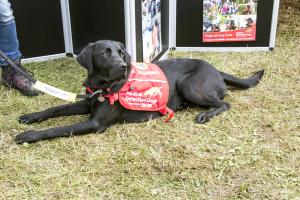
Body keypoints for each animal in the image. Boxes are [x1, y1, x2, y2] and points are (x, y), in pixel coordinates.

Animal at [15, 39, 264, 143]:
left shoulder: (95, 124)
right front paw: (31, 117)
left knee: (224, 103)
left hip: (188, 83)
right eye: (105, 53)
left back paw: (205, 114)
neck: (103, 86)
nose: (124, 66)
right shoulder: (87, 102)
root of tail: (217, 70)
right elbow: (56, 109)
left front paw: (29, 135)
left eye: (121, 53)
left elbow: (58, 128)